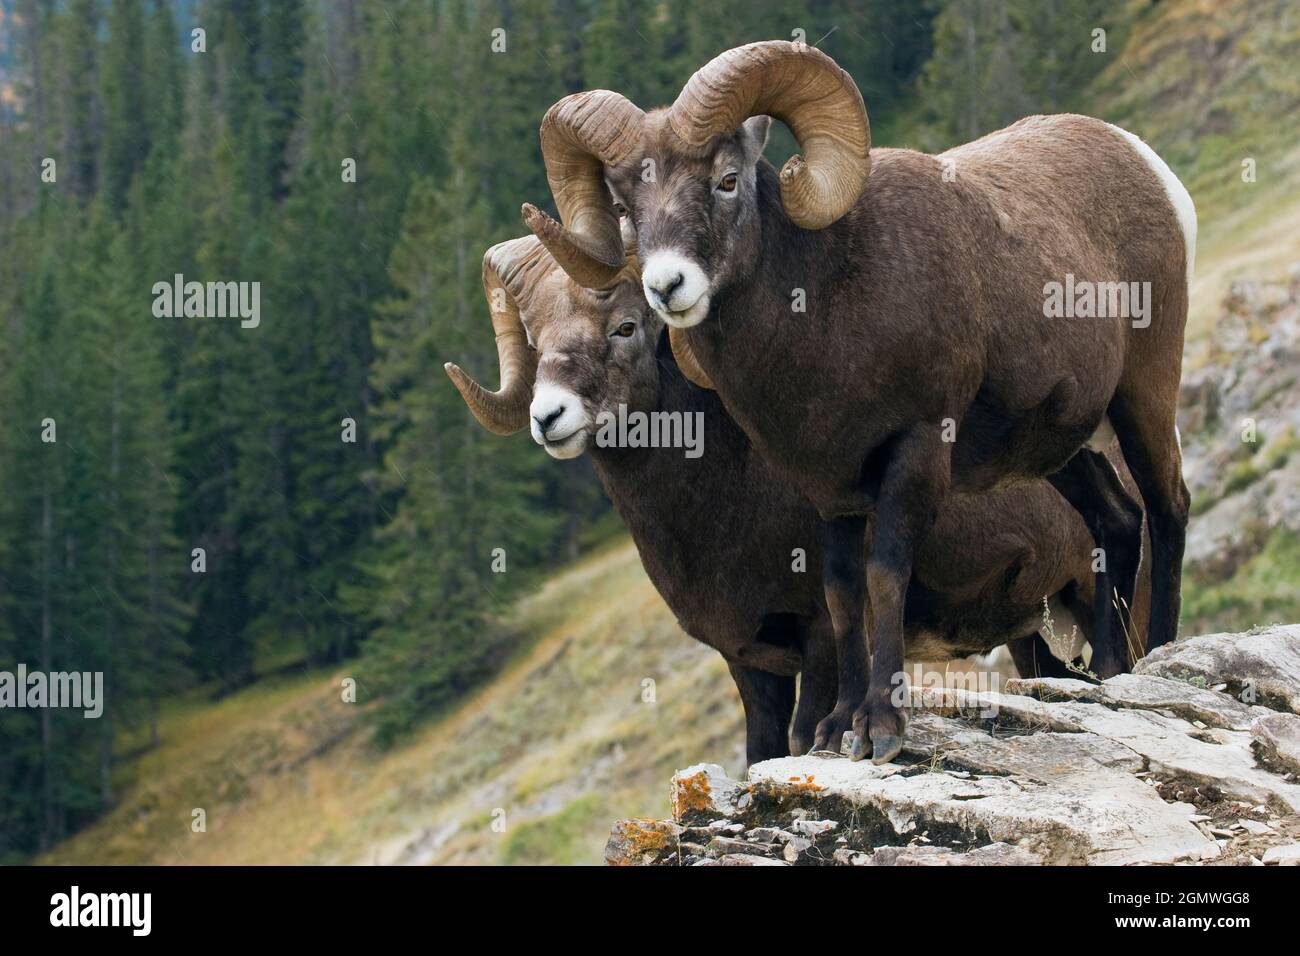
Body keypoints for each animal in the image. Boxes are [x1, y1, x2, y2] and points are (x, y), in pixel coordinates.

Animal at [444, 234, 1148, 767]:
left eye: (624, 327)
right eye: (537, 341)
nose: (548, 417)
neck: (722, 504)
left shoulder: (818, 641)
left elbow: (808, 734)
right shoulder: (752, 666)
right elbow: (762, 754)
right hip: (1033, 635)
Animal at [522, 41, 1192, 762]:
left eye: (727, 180)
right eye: (625, 205)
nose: (668, 286)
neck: (827, 308)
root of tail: (1144, 162)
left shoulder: (914, 454)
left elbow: (884, 577)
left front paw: (881, 729)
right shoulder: (830, 492)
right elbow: (846, 595)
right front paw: (840, 727)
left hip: (1144, 392)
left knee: (1168, 505)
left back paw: (1159, 658)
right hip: (1063, 457)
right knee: (1118, 520)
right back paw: (1111, 672)